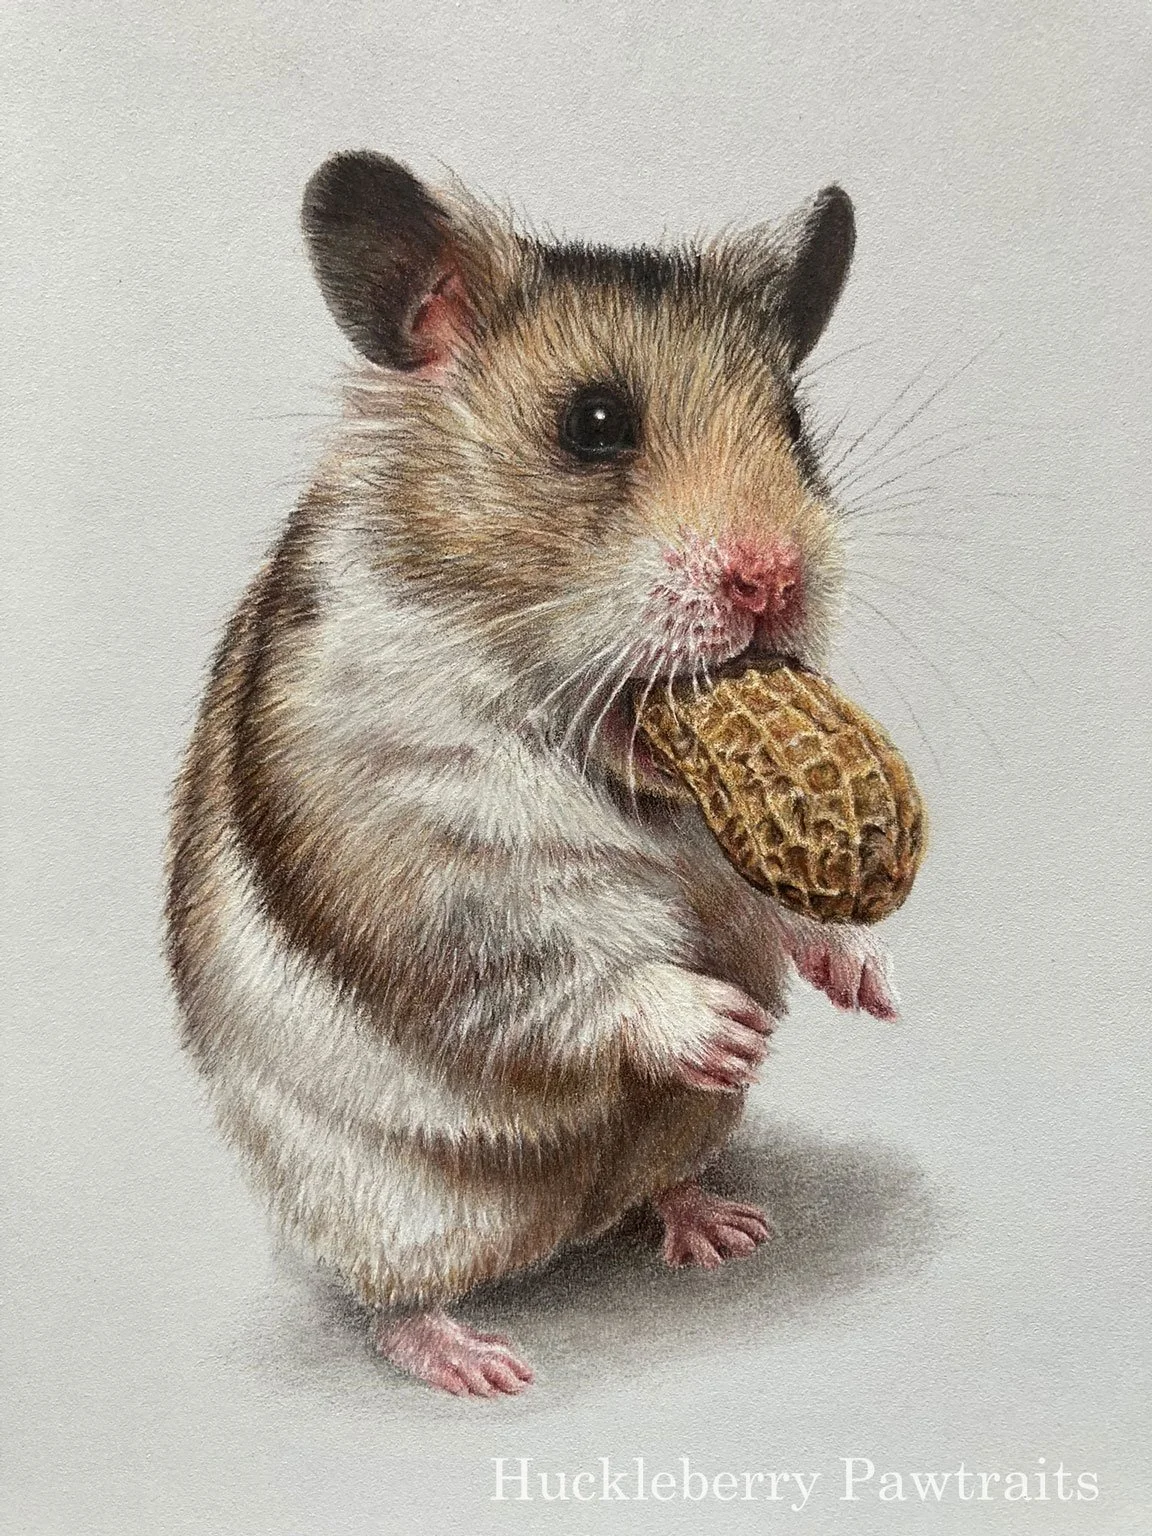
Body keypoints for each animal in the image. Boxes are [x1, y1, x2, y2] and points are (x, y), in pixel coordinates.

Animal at [165, 150, 899, 1398]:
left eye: (797, 426)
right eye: (594, 423)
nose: (772, 579)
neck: (617, 770)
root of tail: (563, 1224)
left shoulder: (727, 855)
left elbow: (779, 905)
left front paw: (870, 982)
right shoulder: (428, 858)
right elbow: (565, 954)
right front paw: (727, 1028)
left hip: (675, 1139)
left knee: (655, 1187)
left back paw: (720, 1228)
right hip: (390, 1208)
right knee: (398, 1299)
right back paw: (481, 1365)